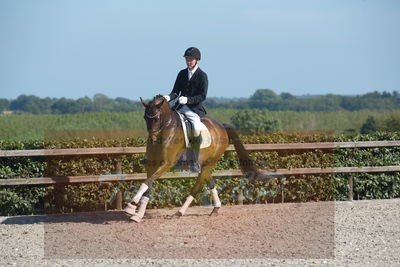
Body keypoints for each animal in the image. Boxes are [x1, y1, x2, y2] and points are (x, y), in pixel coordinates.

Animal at [124, 95, 262, 223]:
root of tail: (221, 126)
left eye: (157, 118)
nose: (152, 140)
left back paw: (180, 212)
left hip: (211, 161)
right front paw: (138, 214)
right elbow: (148, 184)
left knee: (198, 186)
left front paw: (131, 206)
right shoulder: (152, 164)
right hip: (205, 164)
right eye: (145, 118)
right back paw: (216, 208)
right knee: (210, 181)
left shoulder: (167, 163)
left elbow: (147, 182)